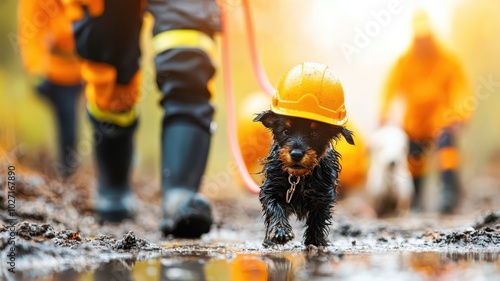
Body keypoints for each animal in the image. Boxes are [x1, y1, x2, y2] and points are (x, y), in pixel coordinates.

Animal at [254, 109, 356, 245]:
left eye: (314, 134)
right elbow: (275, 207)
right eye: (286, 131)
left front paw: (314, 241)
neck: (298, 176)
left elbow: (318, 219)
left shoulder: (322, 195)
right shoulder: (272, 188)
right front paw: (281, 231)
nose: (296, 154)